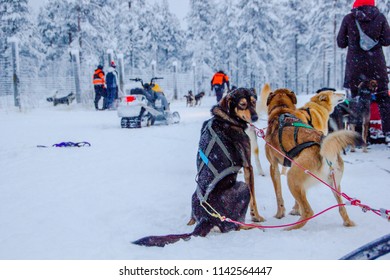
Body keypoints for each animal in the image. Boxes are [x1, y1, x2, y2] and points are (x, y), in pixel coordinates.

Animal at [133, 87, 264, 247]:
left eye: (254, 102)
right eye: (243, 104)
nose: (256, 117)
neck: (226, 118)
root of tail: (205, 218)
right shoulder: (248, 166)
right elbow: (254, 200)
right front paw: (257, 217)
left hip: (193, 195)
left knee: (193, 219)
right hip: (242, 188)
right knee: (236, 225)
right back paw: (252, 226)